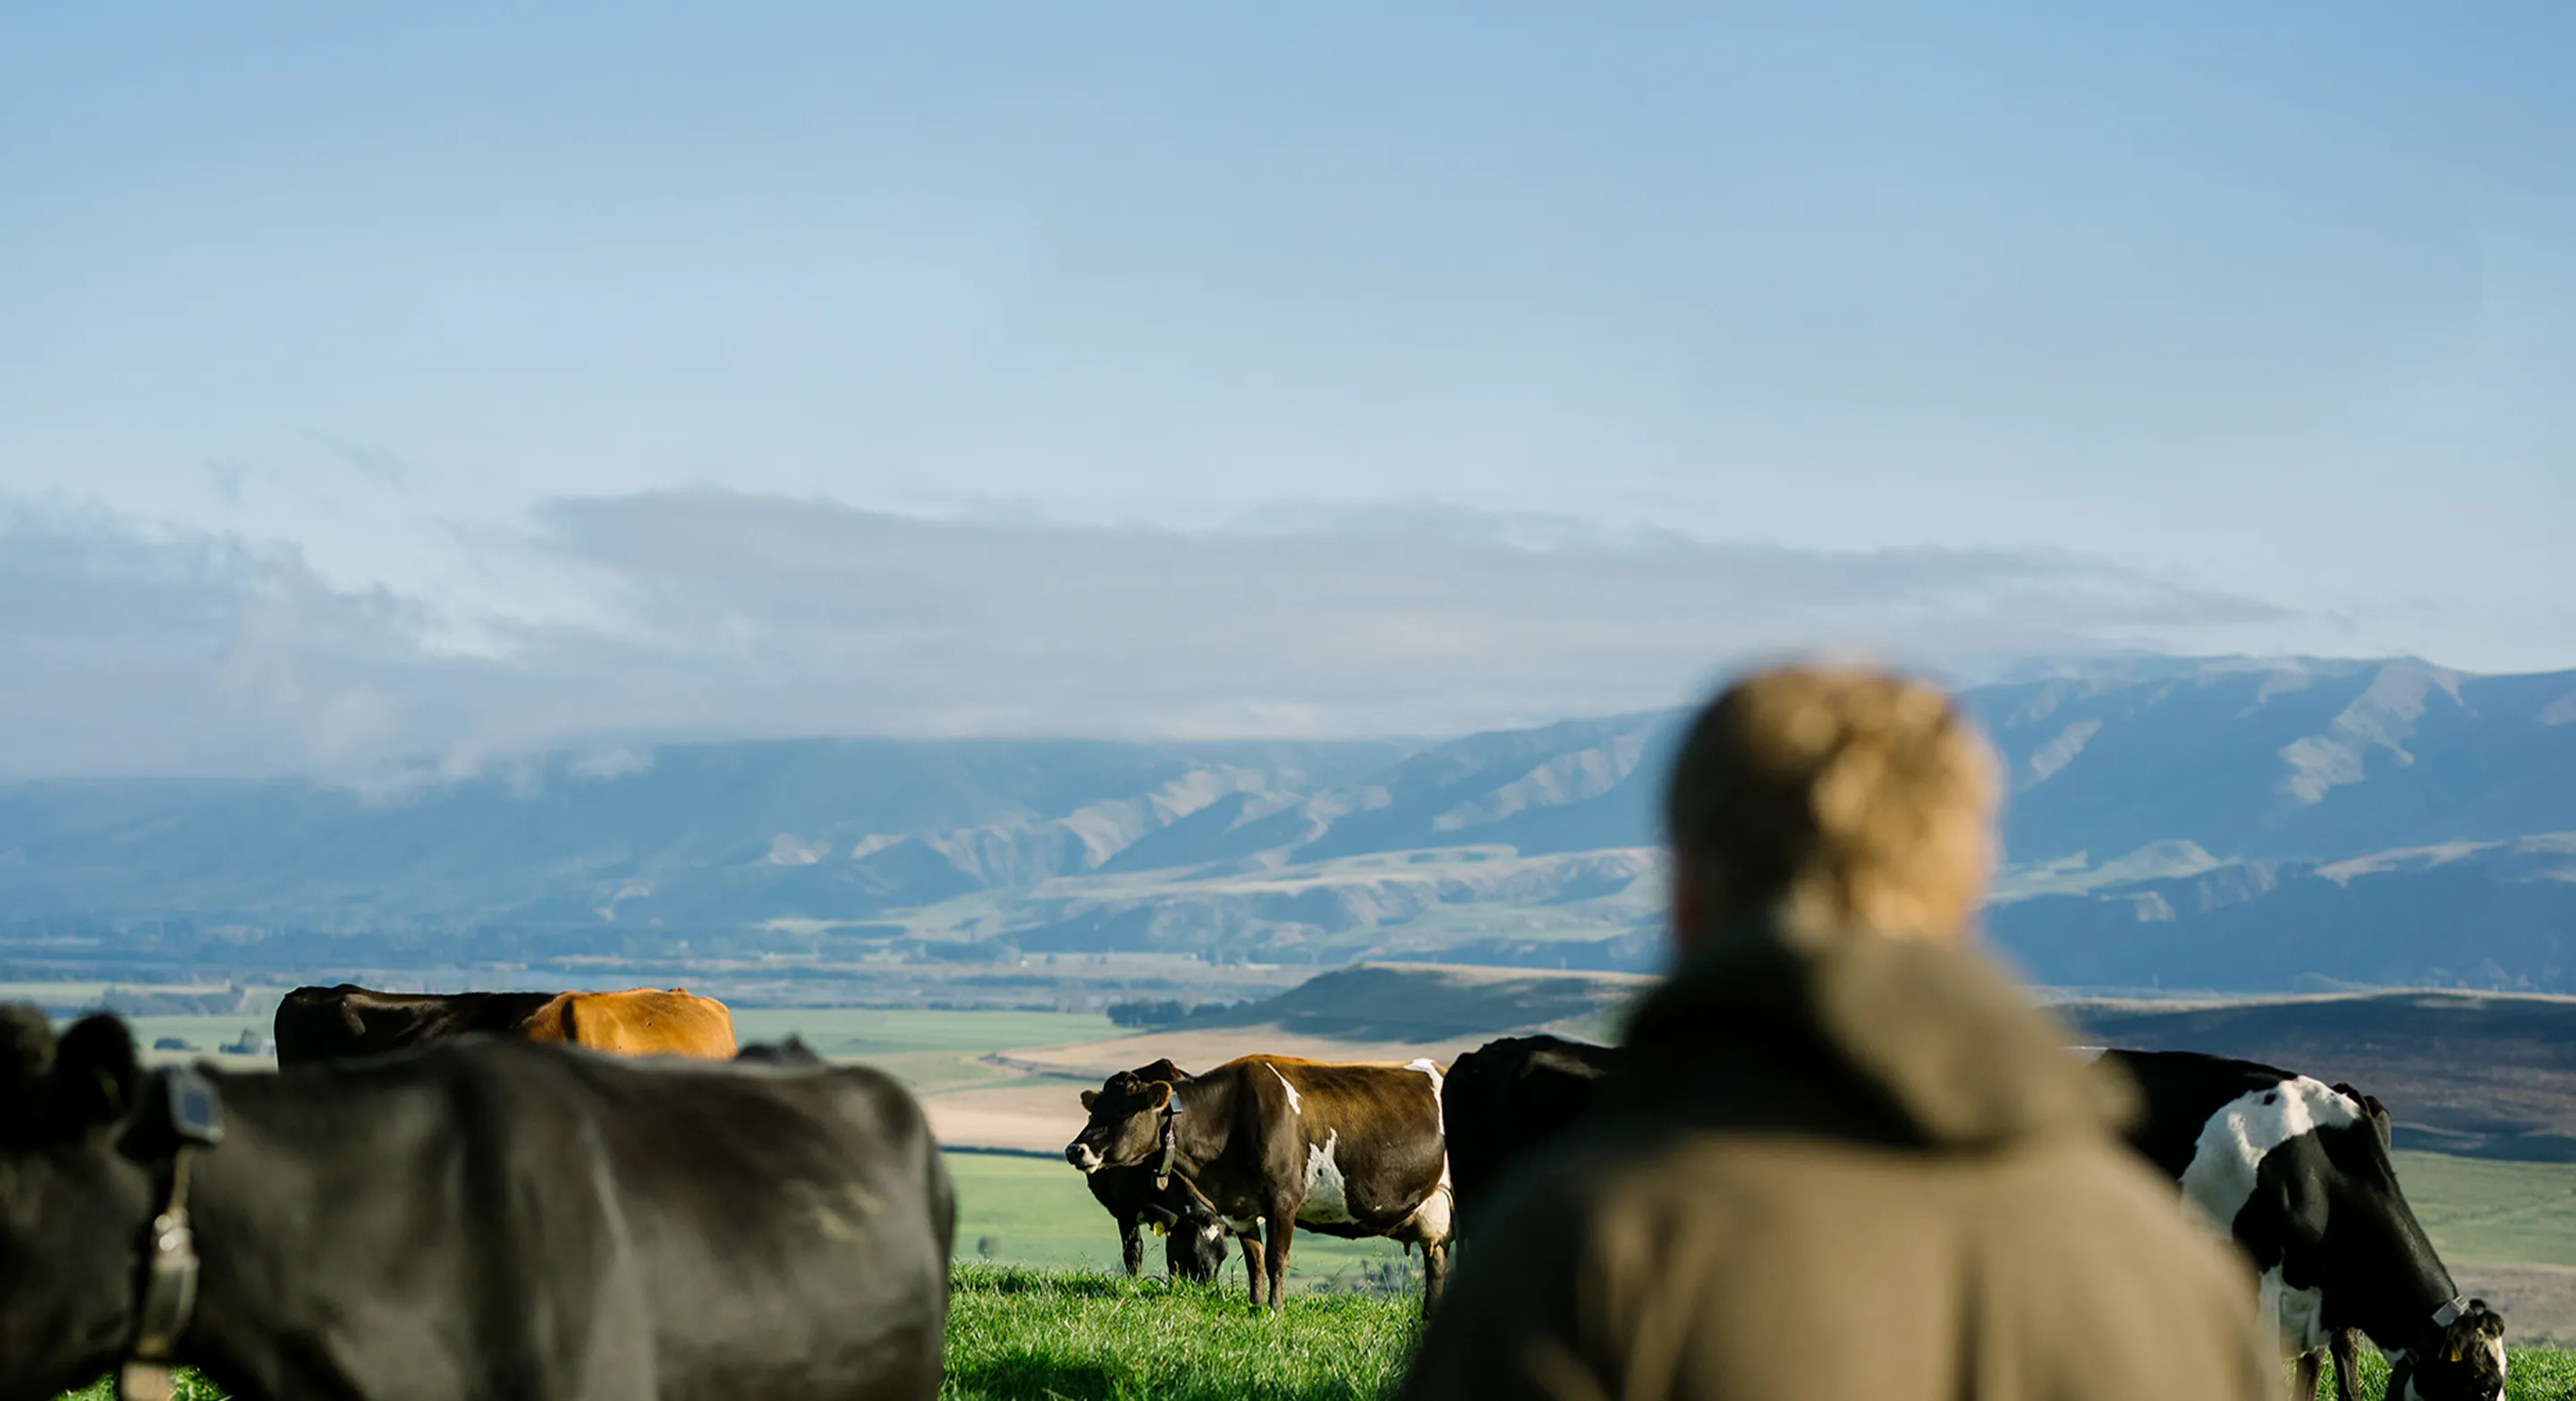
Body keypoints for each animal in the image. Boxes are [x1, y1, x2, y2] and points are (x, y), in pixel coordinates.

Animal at [1066, 1054, 1453, 1314]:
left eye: (1121, 1111)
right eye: (1093, 1111)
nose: (1074, 1149)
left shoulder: (1284, 1199)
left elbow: (1276, 1259)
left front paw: (1275, 1311)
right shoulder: (1240, 1208)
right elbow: (1254, 1259)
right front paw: (1255, 1306)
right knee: (1436, 1261)